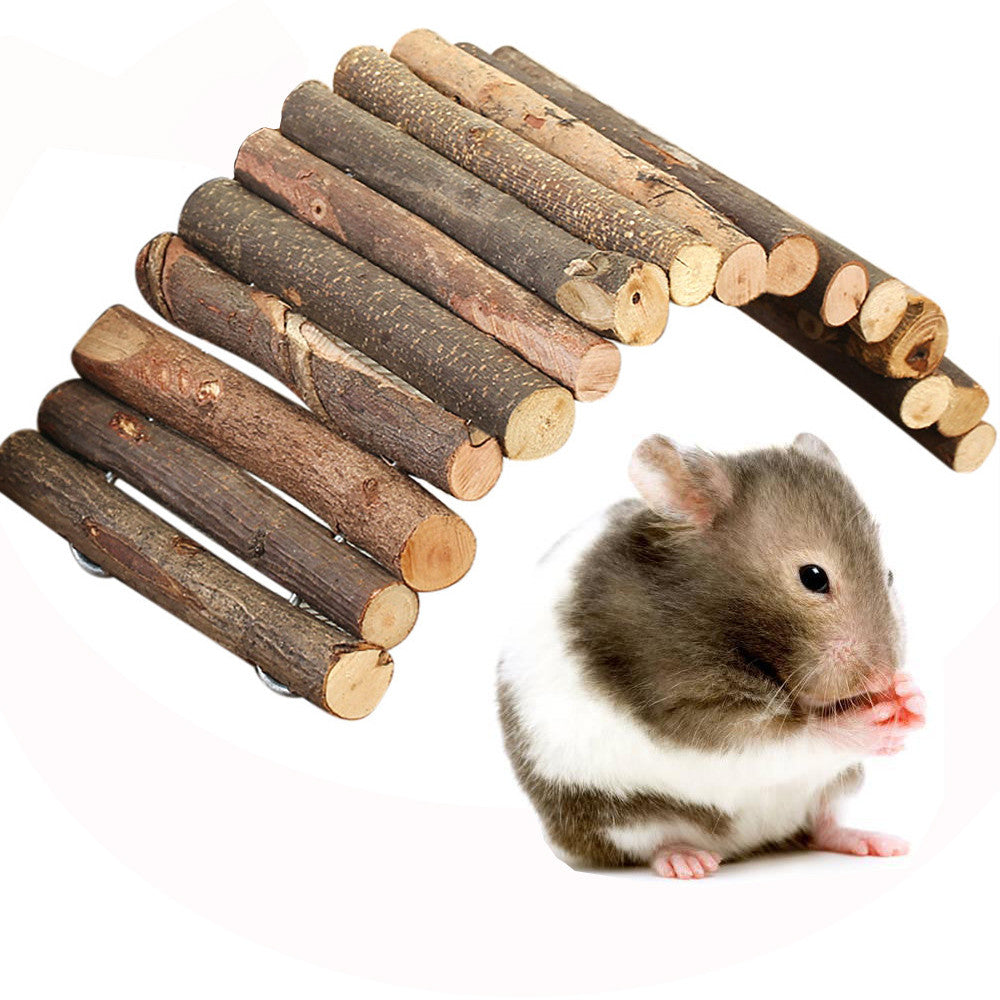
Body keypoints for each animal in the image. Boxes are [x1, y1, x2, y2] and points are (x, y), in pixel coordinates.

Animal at [497, 433, 925, 878]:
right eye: (813, 577)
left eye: (890, 575)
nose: (883, 675)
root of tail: (750, 840)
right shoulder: (689, 707)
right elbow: (793, 737)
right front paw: (874, 719)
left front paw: (910, 699)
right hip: (612, 813)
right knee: (653, 841)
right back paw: (689, 862)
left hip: (834, 788)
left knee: (823, 823)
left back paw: (878, 843)